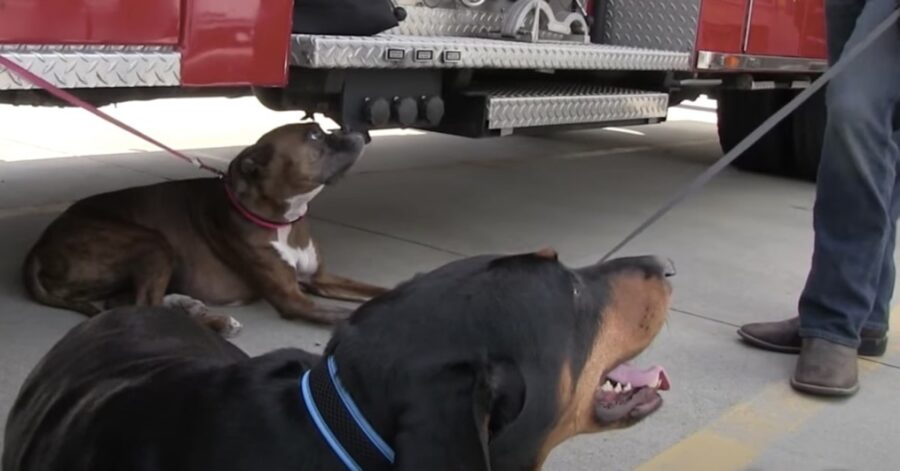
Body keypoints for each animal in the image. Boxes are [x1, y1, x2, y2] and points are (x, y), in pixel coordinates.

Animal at [21, 122, 386, 336]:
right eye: (314, 136)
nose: (355, 129)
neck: (281, 220)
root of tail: (38, 247)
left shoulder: (320, 279)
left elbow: (378, 291)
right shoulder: (292, 298)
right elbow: (351, 313)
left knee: (124, 302)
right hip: (152, 242)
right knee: (143, 304)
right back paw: (215, 322)